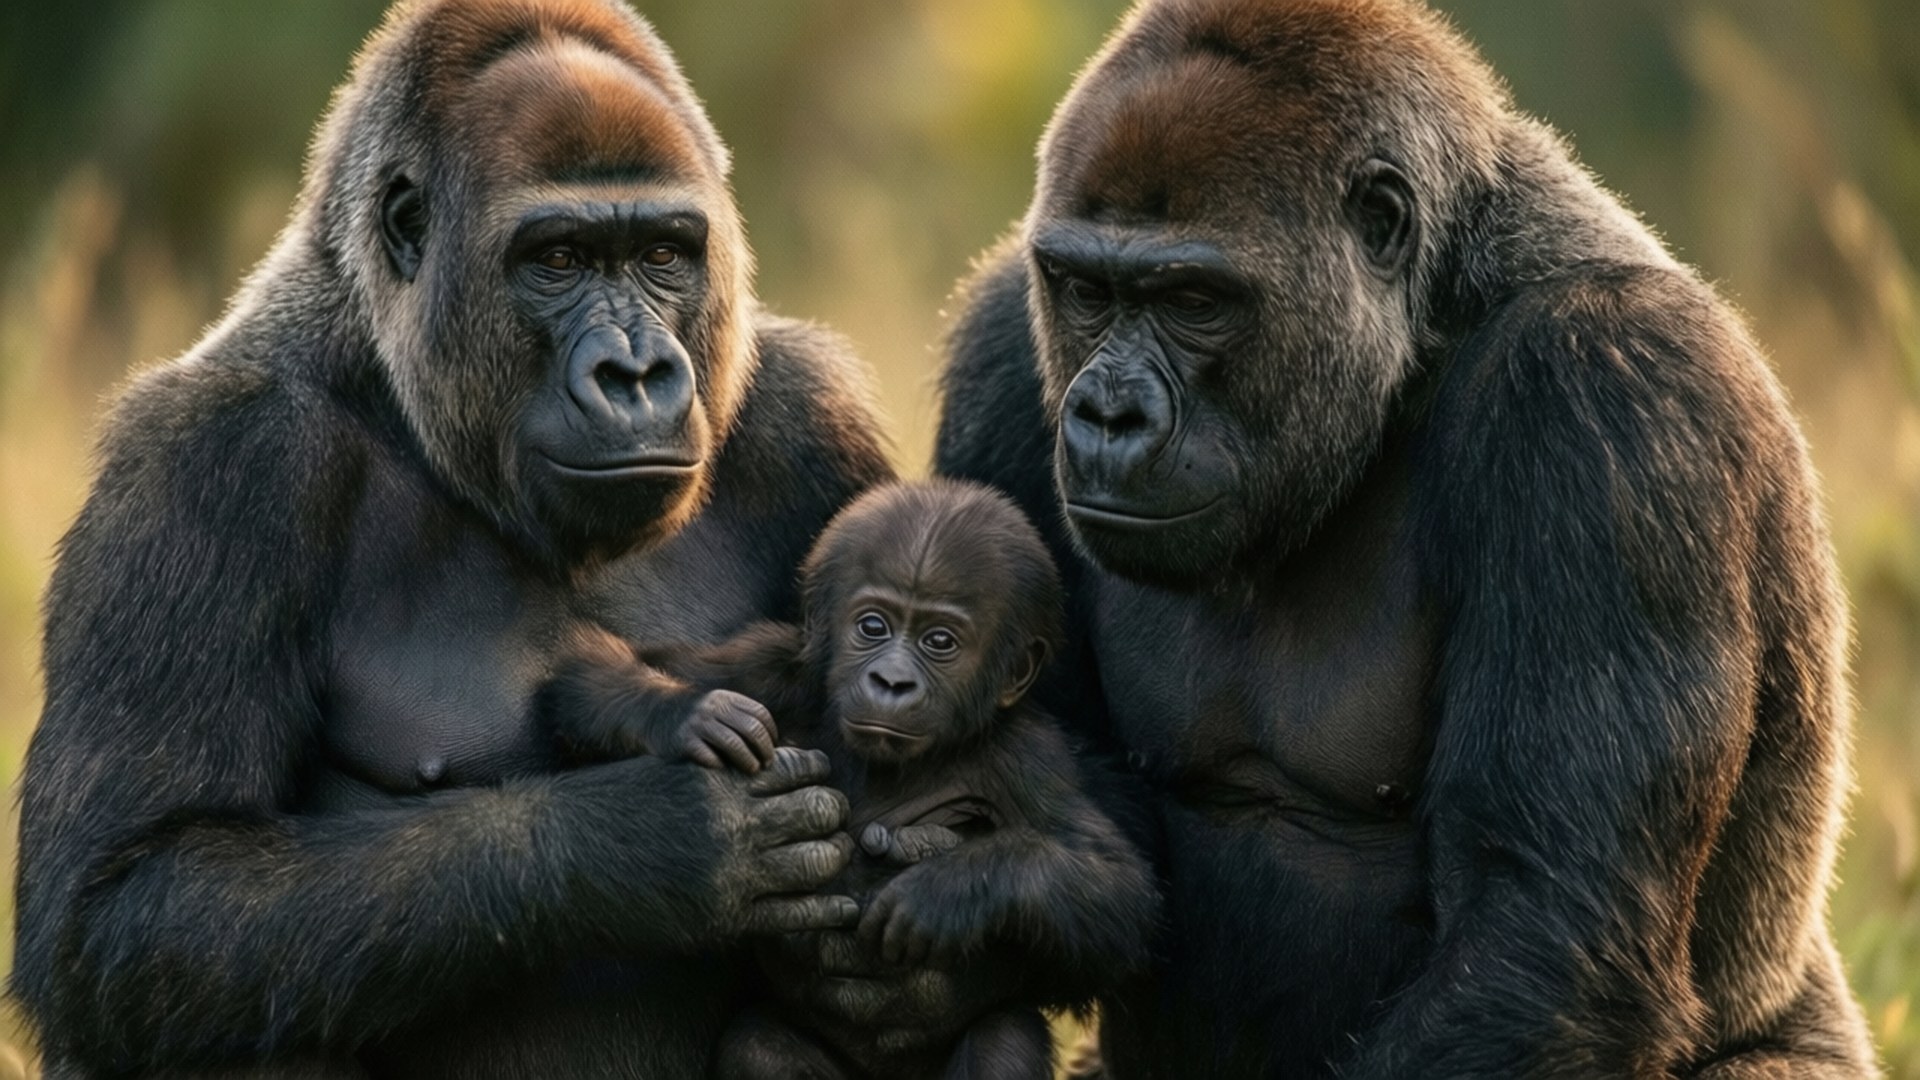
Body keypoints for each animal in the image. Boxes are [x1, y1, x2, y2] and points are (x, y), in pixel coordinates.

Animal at [13, 2, 899, 1076]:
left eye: (662, 255)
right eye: (557, 260)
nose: (636, 374)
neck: (402, 392)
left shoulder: (812, 416)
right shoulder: (210, 457)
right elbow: (126, 898)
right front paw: (651, 838)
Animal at [543, 479, 1160, 1080]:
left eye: (940, 641)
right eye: (873, 626)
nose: (891, 681)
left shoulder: (1033, 757)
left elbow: (1113, 888)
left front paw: (944, 889)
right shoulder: (770, 665)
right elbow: (593, 677)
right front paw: (690, 714)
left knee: (1002, 1038)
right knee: (760, 1048)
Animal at [933, 0, 1879, 1077]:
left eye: (1192, 302)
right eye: (1088, 292)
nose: (1105, 415)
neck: (1424, 324)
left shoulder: (1610, 390)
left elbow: (1543, 937)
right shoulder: (1006, 348)